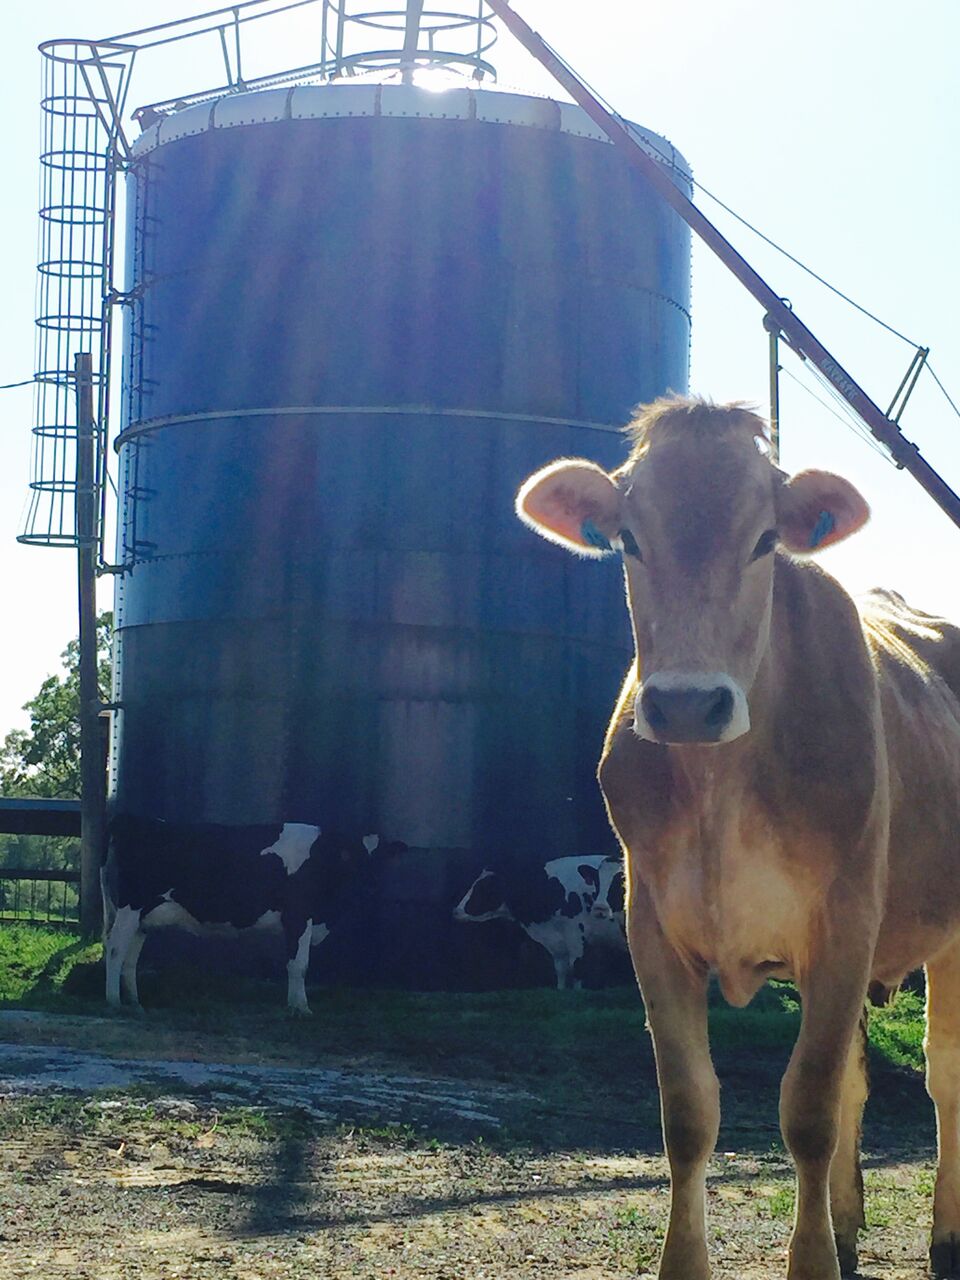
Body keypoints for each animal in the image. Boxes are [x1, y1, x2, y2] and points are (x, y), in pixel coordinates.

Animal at [103, 814, 389, 1015]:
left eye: (375, 857)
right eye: (348, 857)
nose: (371, 882)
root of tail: (133, 819)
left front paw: (294, 1005)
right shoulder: (298, 916)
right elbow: (299, 965)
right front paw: (301, 1007)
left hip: (142, 918)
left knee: (130, 957)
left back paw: (135, 1002)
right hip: (130, 907)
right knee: (116, 949)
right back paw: (113, 1001)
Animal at [453, 854, 626, 989]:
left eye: (484, 886)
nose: (456, 911)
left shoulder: (575, 935)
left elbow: (577, 969)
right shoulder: (557, 943)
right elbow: (561, 970)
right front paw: (561, 991)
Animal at [515, 395, 960, 1280]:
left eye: (764, 540)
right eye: (628, 537)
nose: (688, 704)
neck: (720, 785)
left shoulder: (846, 925)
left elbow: (810, 1109)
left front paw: (811, 1265)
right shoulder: (651, 926)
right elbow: (690, 1112)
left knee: (945, 1076)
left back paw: (946, 1240)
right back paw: (849, 1229)